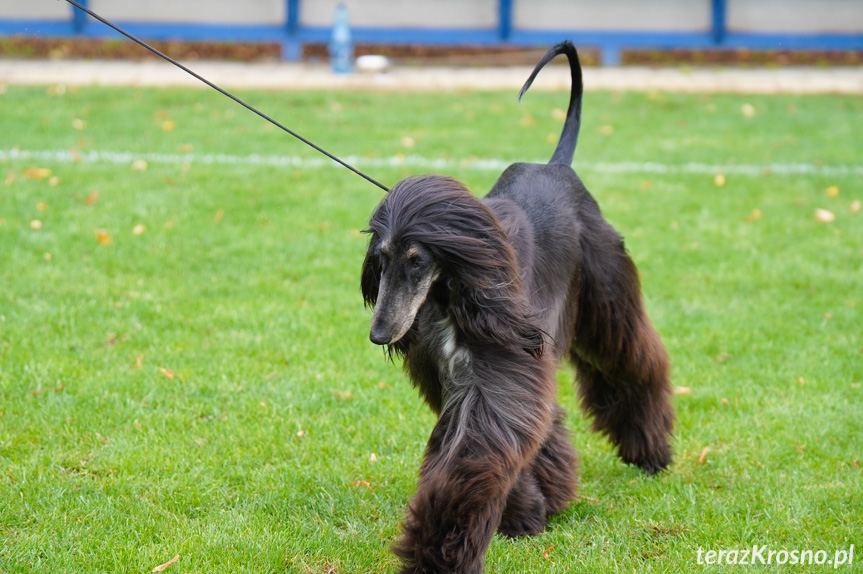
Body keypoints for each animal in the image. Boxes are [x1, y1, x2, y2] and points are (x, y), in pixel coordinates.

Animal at [358, 41, 676, 574]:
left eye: (417, 260)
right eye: (380, 260)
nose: (381, 334)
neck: (457, 295)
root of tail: (557, 166)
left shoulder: (497, 378)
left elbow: (476, 459)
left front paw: (439, 555)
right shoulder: (461, 379)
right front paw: (524, 512)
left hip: (605, 297)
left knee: (633, 364)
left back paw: (649, 453)